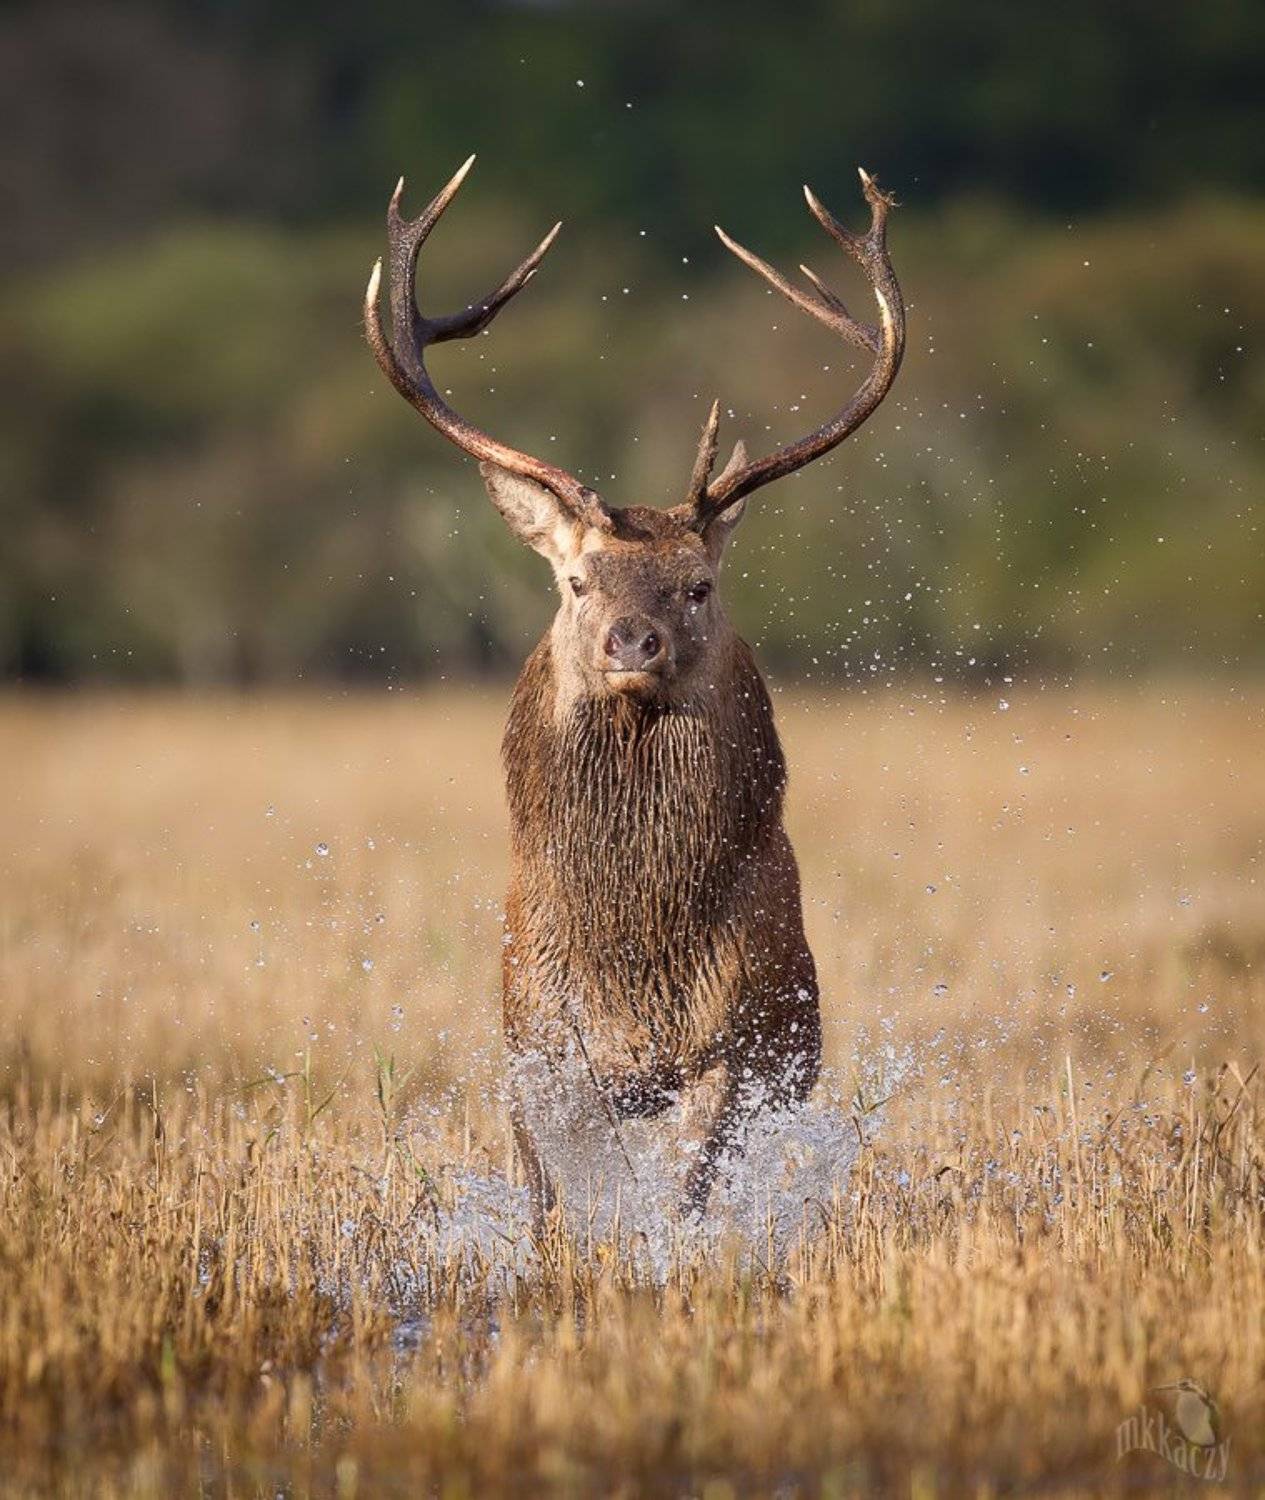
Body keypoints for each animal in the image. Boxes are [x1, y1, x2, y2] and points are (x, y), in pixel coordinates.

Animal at [364, 156, 904, 1228]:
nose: (631, 639)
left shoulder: (742, 1044)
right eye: (577, 582)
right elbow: (563, 1191)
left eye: (697, 585)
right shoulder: (537, 1045)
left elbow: (690, 1185)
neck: (633, 957)